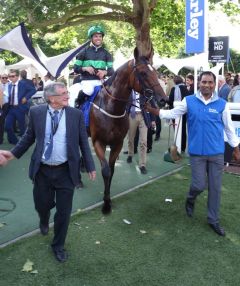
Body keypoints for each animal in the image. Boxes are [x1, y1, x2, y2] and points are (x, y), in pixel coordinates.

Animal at [89, 47, 168, 212]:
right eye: (143, 73)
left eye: (155, 71)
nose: (163, 99)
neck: (111, 107)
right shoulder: (98, 142)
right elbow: (105, 171)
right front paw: (106, 204)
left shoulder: (117, 143)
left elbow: (111, 170)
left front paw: (108, 199)